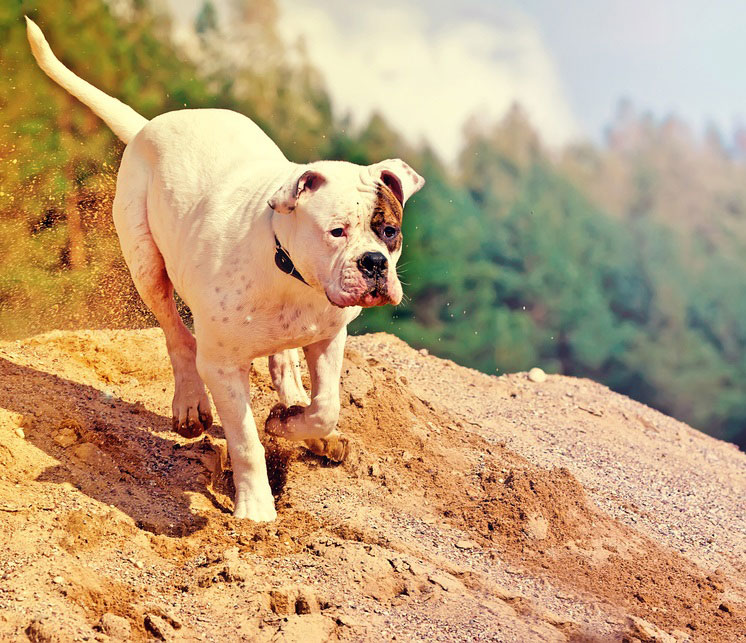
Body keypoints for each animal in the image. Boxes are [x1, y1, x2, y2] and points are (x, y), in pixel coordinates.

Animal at [26, 17, 422, 520]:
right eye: (337, 231)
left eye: (389, 231)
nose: (373, 263)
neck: (290, 273)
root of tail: (150, 125)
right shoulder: (222, 366)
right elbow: (246, 440)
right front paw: (255, 508)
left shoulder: (329, 336)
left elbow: (325, 405)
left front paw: (292, 422)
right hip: (145, 260)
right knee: (176, 333)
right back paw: (191, 404)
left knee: (283, 361)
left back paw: (300, 410)